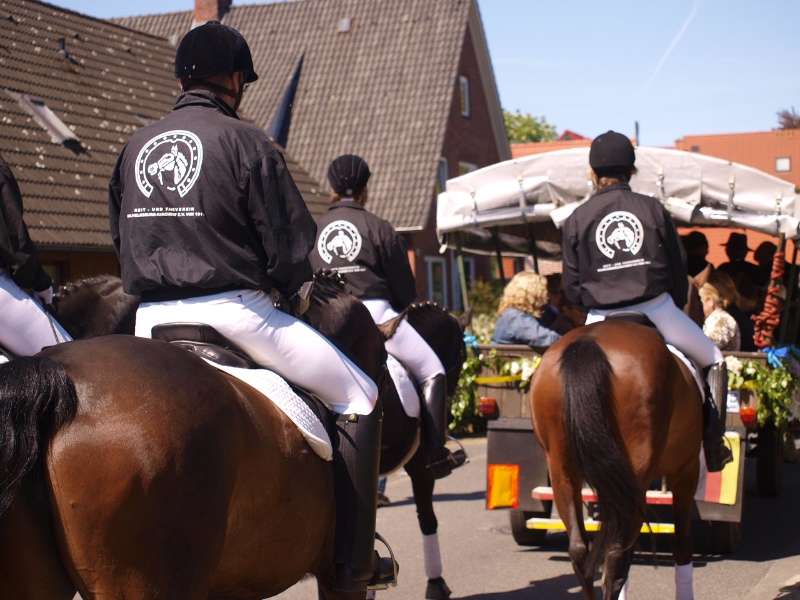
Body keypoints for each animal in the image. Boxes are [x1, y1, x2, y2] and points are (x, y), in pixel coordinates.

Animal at [529, 319, 703, 600]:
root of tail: (587, 342)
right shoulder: (686, 470)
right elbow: (682, 543)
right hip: (636, 477)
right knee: (615, 559)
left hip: (563, 471)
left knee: (580, 550)